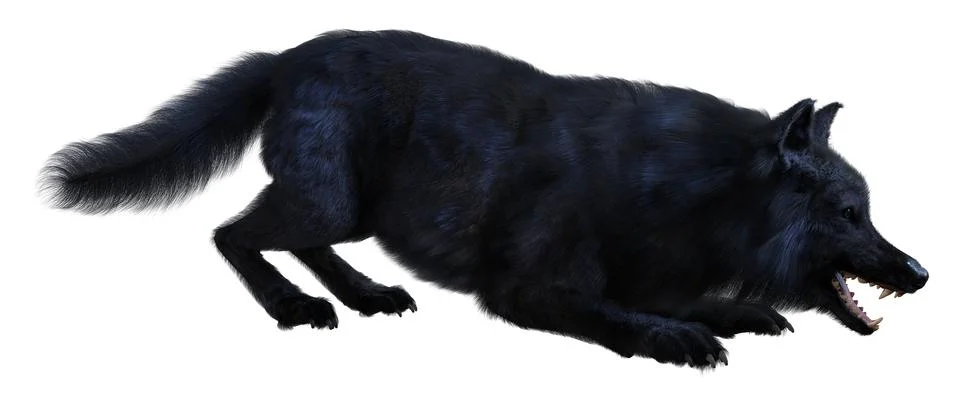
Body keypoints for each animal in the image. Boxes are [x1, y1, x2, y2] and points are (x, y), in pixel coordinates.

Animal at [39, 29, 929, 368]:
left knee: (292, 241)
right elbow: (616, 315)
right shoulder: (525, 289)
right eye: (850, 215)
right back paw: (297, 309)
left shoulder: (652, 271)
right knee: (233, 233)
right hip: (330, 201)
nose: (919, 272)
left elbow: (684, 299)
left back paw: (367, 296)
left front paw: (738, 313)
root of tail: (285, 54)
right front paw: (679, 340)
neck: (682, 192)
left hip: (346, 208)